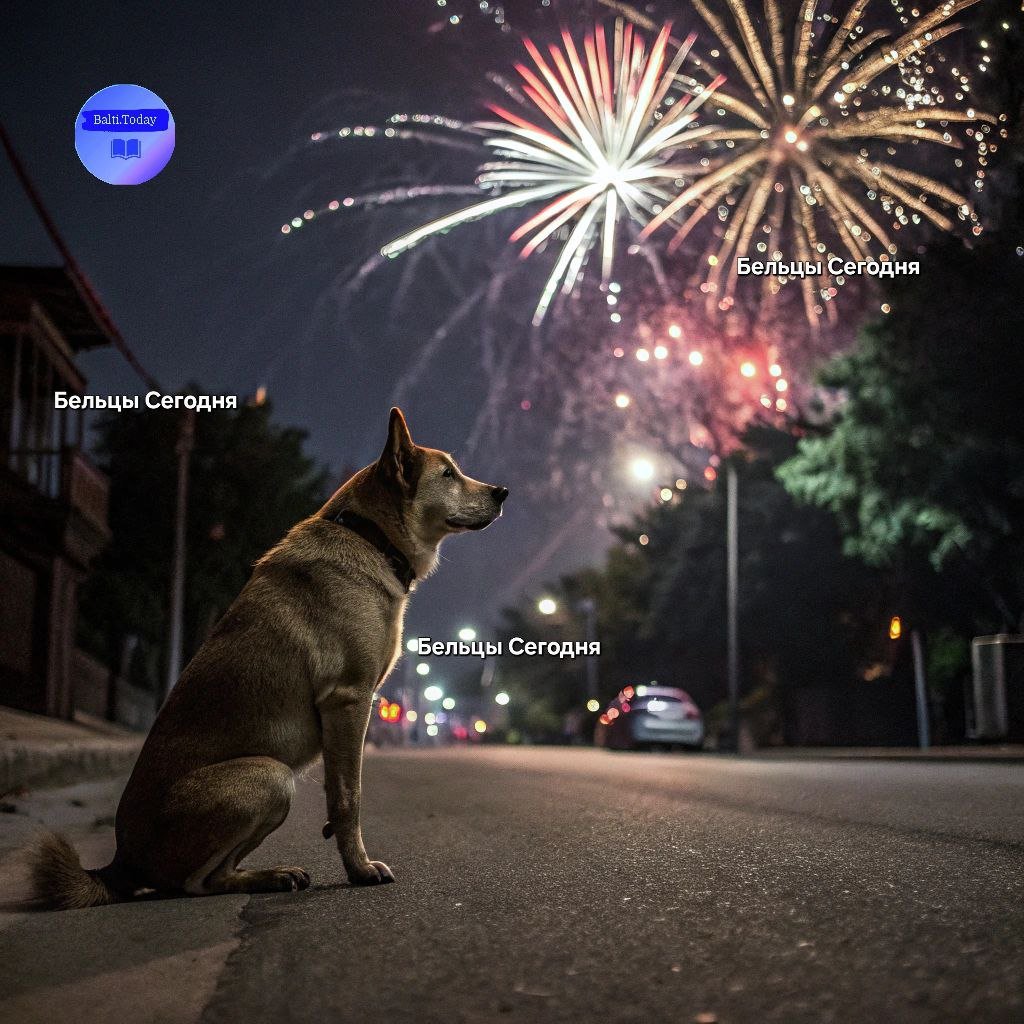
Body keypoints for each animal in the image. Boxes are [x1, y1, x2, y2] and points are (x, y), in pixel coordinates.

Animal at [32, 403, 507, 909]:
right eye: (448, 473)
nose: (503, 492)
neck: (369, 536)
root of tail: (121, 861)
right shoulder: (349, 700)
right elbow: (349, 797)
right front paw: (358, 870)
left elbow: (340, 793)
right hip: (270, 775)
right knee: (193, 883)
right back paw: (266, 877)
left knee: (216, 873)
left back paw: (270, 874)